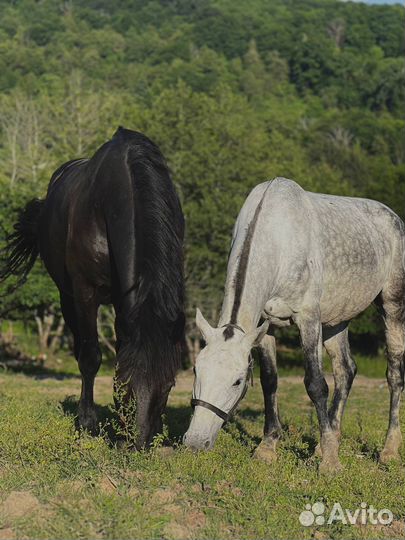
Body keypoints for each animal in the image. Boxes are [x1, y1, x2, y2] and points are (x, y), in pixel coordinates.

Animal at [0, 127, 185, 448]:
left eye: (170, 384)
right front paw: (87, 423)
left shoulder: (126, 301)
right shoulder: (85, 293)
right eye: (125, 381)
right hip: (67, 297)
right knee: (80, 348)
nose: (138, 442)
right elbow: (90, 357)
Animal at [184, 178, 404, 472]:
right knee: (345, 371)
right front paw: (268, 447)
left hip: (392, 306)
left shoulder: (308, 318)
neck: (279, 239)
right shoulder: (265, 326)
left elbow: (316, 384)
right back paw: (328, 440)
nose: (196, 442)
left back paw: (388, 450)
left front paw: (330, 462)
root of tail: (394, 218)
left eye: (237, 381)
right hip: (336, 320)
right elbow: (269, 381)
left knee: (394, 374)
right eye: (196, 370)